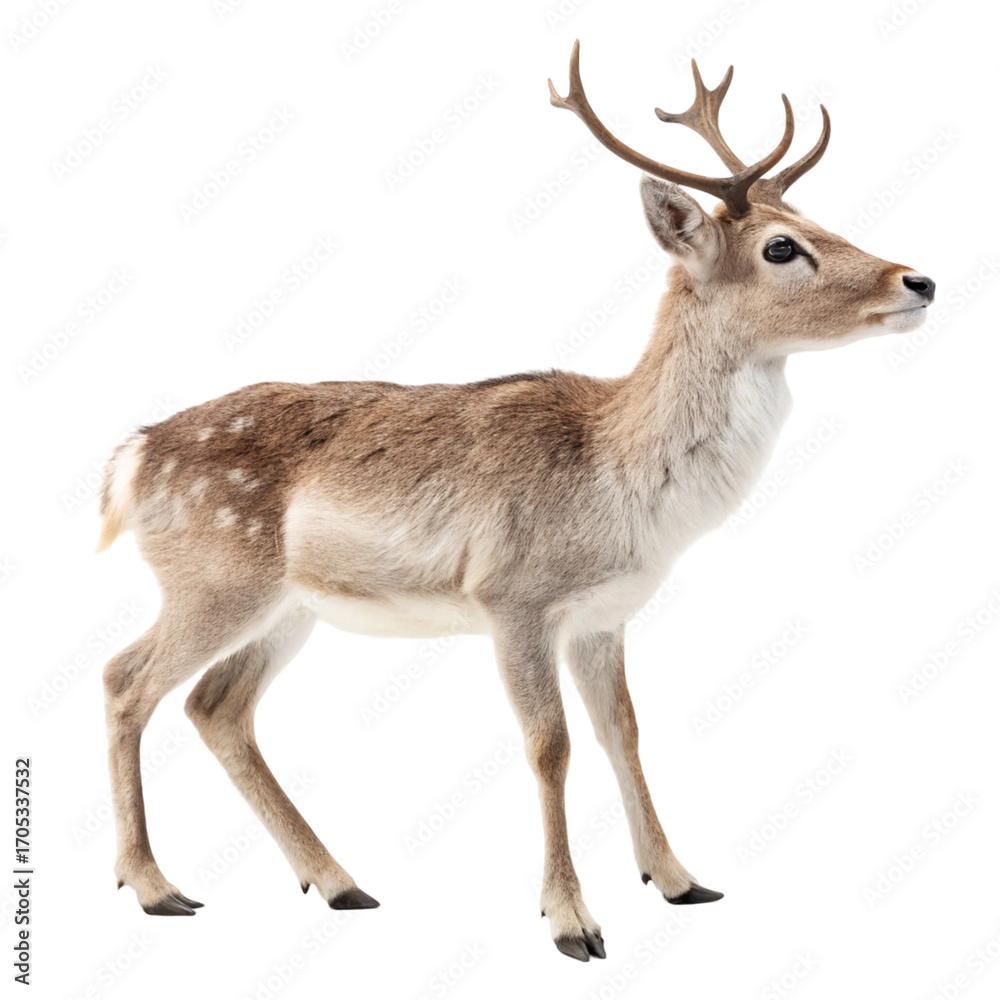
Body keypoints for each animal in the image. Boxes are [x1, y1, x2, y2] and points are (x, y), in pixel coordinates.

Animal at [96, 41, 934, 962]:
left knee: (216, 706)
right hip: (214, 576)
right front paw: (572, 921)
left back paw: (340, 883)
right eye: (783, 248)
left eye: (823, 220)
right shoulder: (513, 596)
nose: (919, 279)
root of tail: (131, 458)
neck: (620, 487)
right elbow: (550, 744)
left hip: (290, 606)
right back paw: (156, 887)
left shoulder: (606, 614)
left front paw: (680, 879)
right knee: (124, 679)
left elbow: (623, 730)